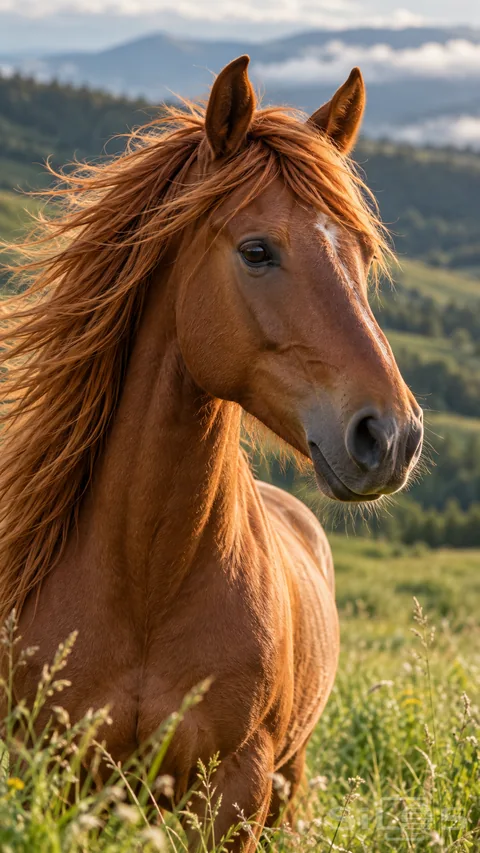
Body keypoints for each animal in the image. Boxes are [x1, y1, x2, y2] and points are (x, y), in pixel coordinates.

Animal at [0, 56, 423, 850]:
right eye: (257, 250)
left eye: (361, 253)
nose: (391, 437)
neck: (147, 581)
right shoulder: (57, 779)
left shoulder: (235, 792)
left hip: (288, 781)